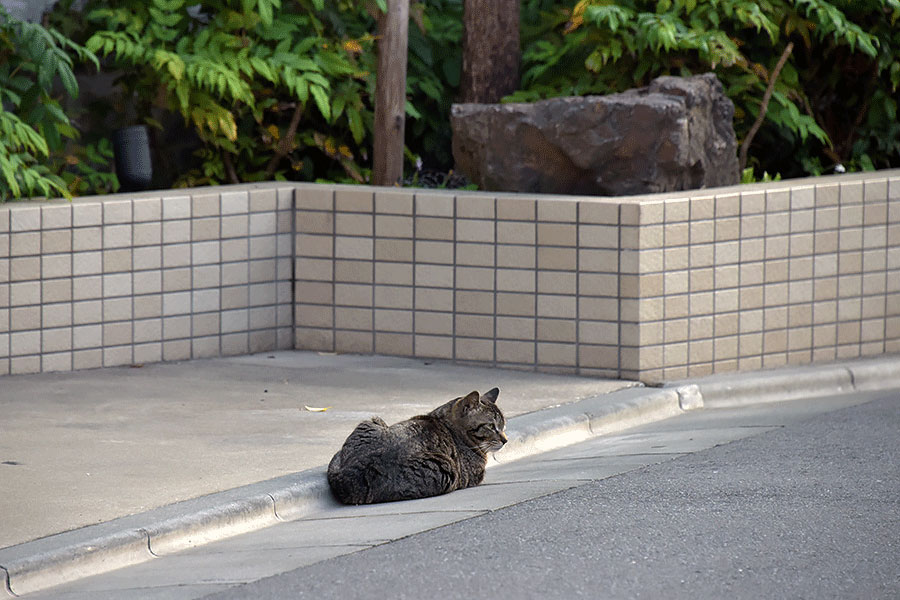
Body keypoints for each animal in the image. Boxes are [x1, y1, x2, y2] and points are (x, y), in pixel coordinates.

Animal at [326, 386, 506, 504]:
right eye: (491, 426)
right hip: (446, 469)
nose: (505, 440)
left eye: (503, 425)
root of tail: (346, 474)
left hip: (370, 422)